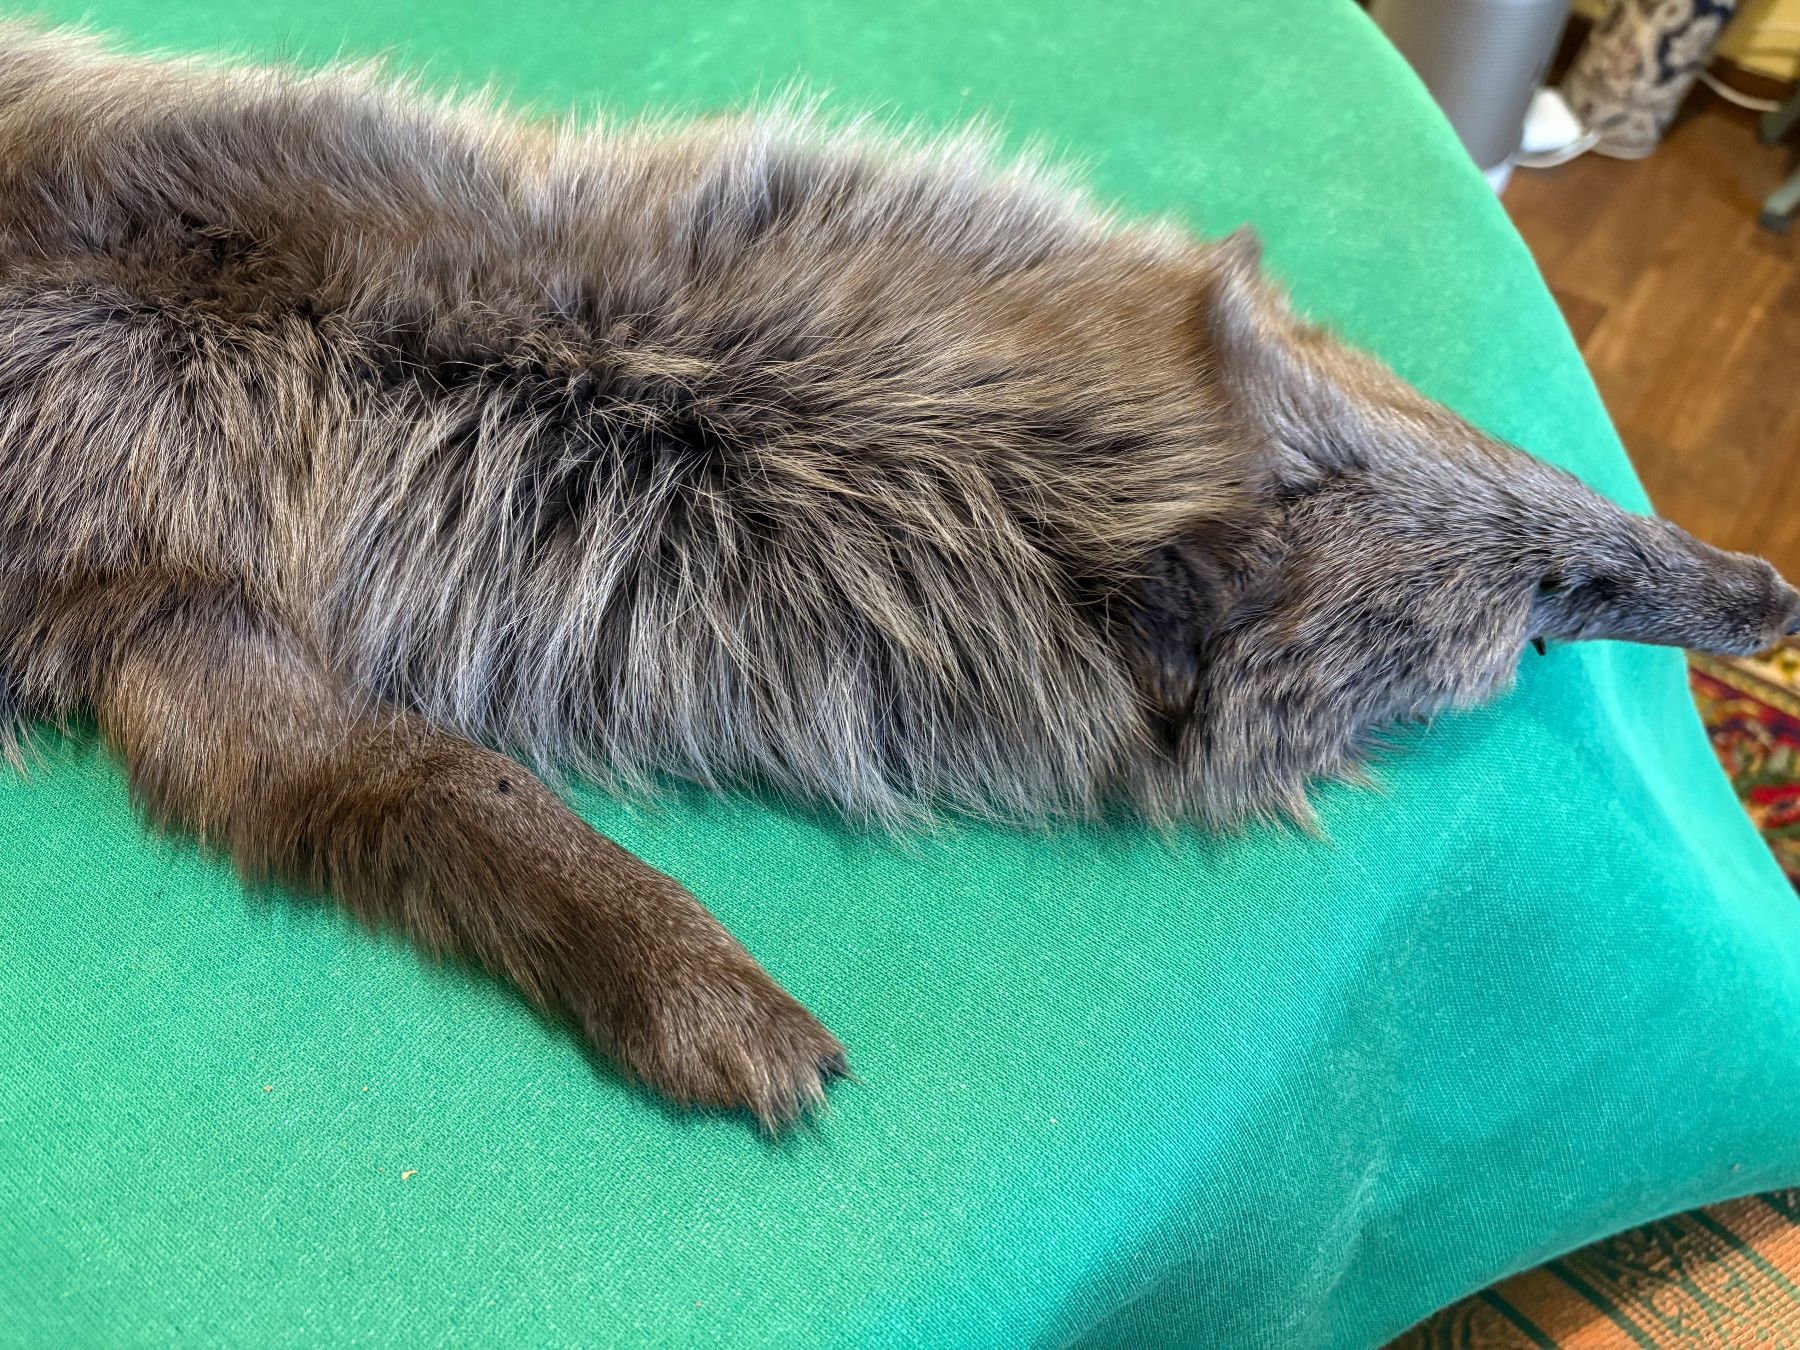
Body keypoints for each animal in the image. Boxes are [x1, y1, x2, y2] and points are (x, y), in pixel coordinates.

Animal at [2, 25, 1795, 1128]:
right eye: (1550, 619)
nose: (1765, 594)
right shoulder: (172, 608)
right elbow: (443, 798)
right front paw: (703, 992)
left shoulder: (183, 612)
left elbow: (416, 790)